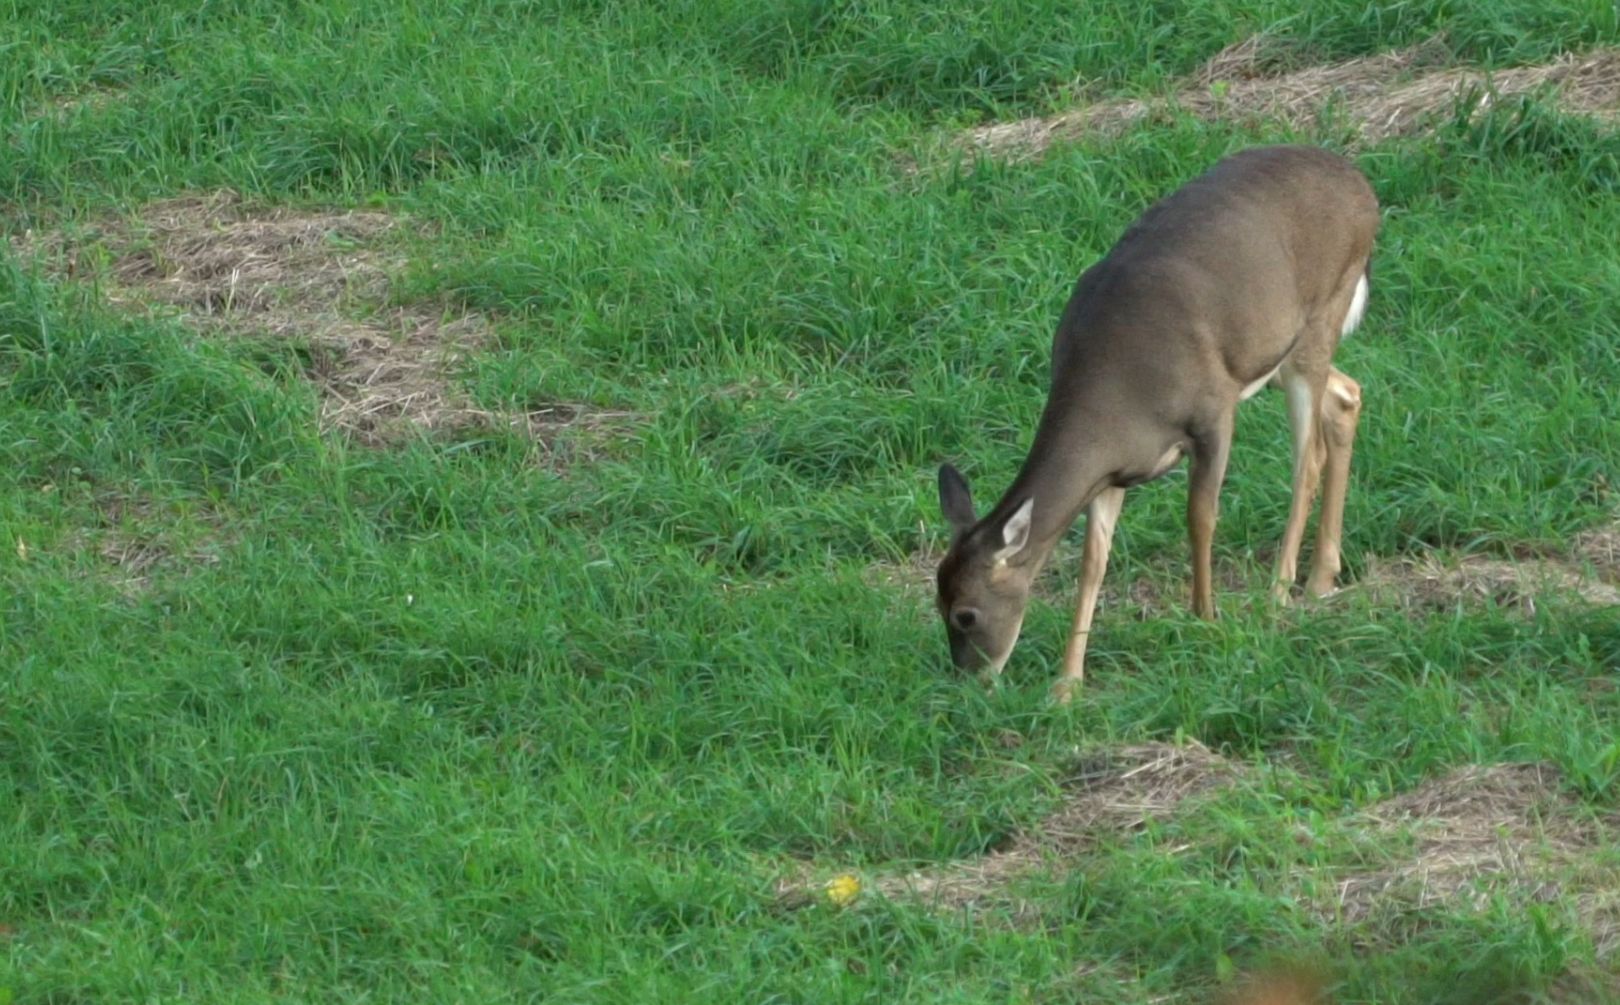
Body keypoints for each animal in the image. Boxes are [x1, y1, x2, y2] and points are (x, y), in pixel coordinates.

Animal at [939, 145, 1380, 703]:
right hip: (1283, 355)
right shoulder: (1113, 470)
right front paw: (1067, 684)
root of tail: (1361, 183)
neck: (1118, 392)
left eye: (966, 614)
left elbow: (1200, 516)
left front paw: (1206, 618)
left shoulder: (1213, 411)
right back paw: (1323, 576)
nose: (969, 682)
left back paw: (1281, 591)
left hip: (1321, 317)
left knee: (1308, 459)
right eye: (937, 601)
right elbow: (1093, 561)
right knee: (1346, 397)